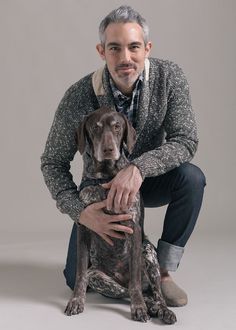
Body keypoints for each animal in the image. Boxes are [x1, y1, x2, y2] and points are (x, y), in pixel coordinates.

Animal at [64, 107, 177, 324]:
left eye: (117, 127)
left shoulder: (133, 227)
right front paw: (76, 301)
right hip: (98, 277)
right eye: (95, 127)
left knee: (152, 291)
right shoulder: (84, 226)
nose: (108, 149)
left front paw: (138, 307)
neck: (106, 177)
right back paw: (152, 307)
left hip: (148, 252)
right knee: (125, 291)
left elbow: (135, 283)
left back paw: (162, 309)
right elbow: (80, 274)